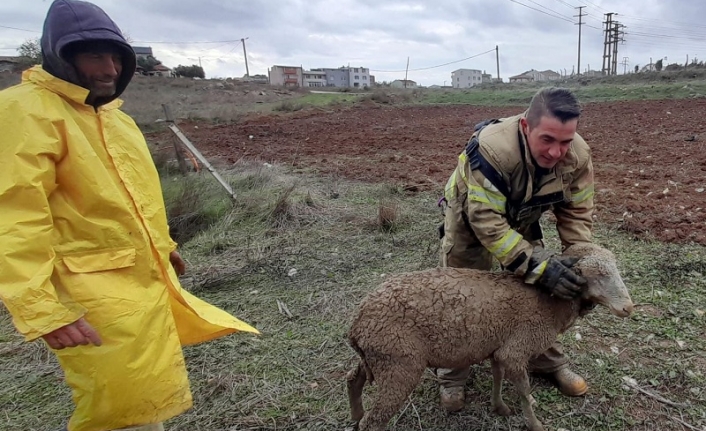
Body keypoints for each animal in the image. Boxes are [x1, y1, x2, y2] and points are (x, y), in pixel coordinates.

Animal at [346, 243, 632, 431]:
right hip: (399, 366)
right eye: (599, 276)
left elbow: (498, 378)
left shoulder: (498, 348)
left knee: (353, 379)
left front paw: (499, 408)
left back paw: (356, 413)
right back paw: (363, 418)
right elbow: (524, 391)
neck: (547, 302)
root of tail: (357, 322)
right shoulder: (516, 351)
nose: (628, 308)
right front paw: (535, 424)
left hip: (378, 359)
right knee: (374, 421)